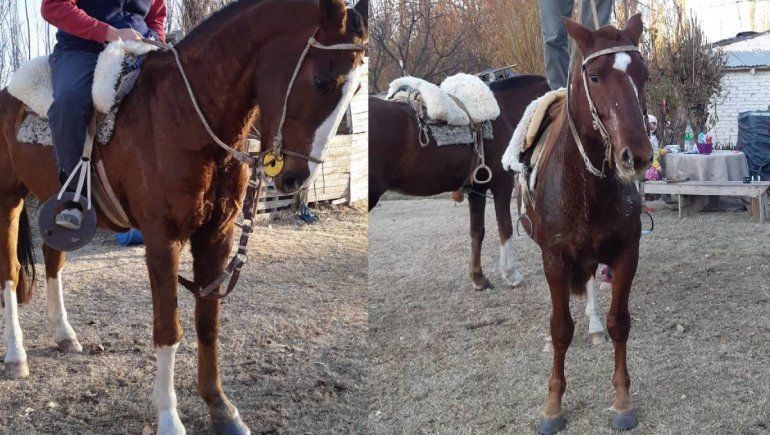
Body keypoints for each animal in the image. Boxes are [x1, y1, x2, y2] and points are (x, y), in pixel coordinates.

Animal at [0, 0, 368, 433]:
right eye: (323, 81)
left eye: (355, 90)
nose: (296, 176)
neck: (186, 115)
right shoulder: (164, 241)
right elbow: (168, 329)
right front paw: (168, 417)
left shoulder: (216, 235)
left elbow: (208, 321)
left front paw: (220, 408)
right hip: (8, 200)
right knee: (9, 274)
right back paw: (16, 356)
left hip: (53, 205)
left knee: (53, 262)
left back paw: (65, 336)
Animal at [368, 75, 550, 290]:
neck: (504, 111)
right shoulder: (501, 185)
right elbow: (505, 228)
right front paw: (511, 274)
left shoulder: (477, 188)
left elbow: (477, 231)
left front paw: (478, 277)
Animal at [503, 15, 652, 433]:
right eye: (596, 77)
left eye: (644, 75)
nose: (636, 155)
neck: (588, 183)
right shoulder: (554, 259)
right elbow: (560, 329)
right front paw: (553, 405)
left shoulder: (626, 254)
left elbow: (620, 322)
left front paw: (622, 399)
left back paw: (595, 325)